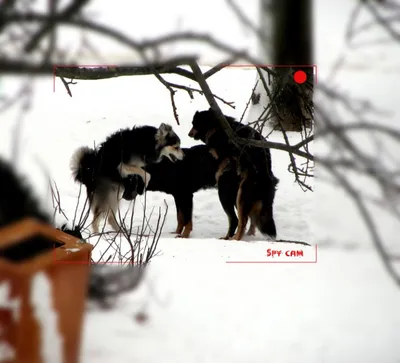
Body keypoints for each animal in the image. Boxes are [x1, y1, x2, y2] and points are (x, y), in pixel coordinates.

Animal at [188, 109, 278, 240]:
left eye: (194, 124)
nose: (189, 134)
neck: (216, 127)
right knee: (251, 220)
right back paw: (248, 234)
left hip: (239, 195)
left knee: (242, 221)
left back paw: (235, 238)